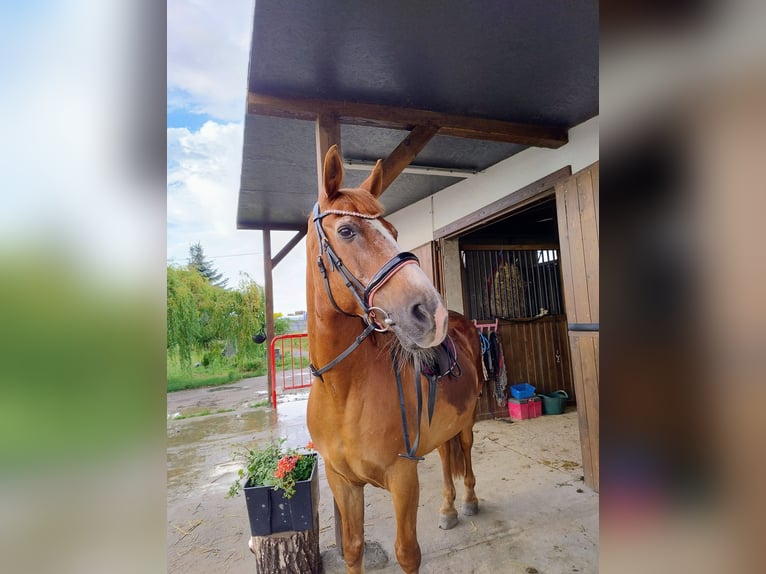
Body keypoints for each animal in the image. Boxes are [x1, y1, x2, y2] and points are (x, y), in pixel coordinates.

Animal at [308, 146, 484, 572]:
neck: (343, 392)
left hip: (467, 420)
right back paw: (448, 509)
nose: (431, 312)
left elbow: (407, 552)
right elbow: (353, 549)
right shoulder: (343, 483)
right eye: (347, 231)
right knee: (446, 455)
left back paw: (469, 501)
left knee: (465, 451)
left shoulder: (403, 477)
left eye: (395, 232)